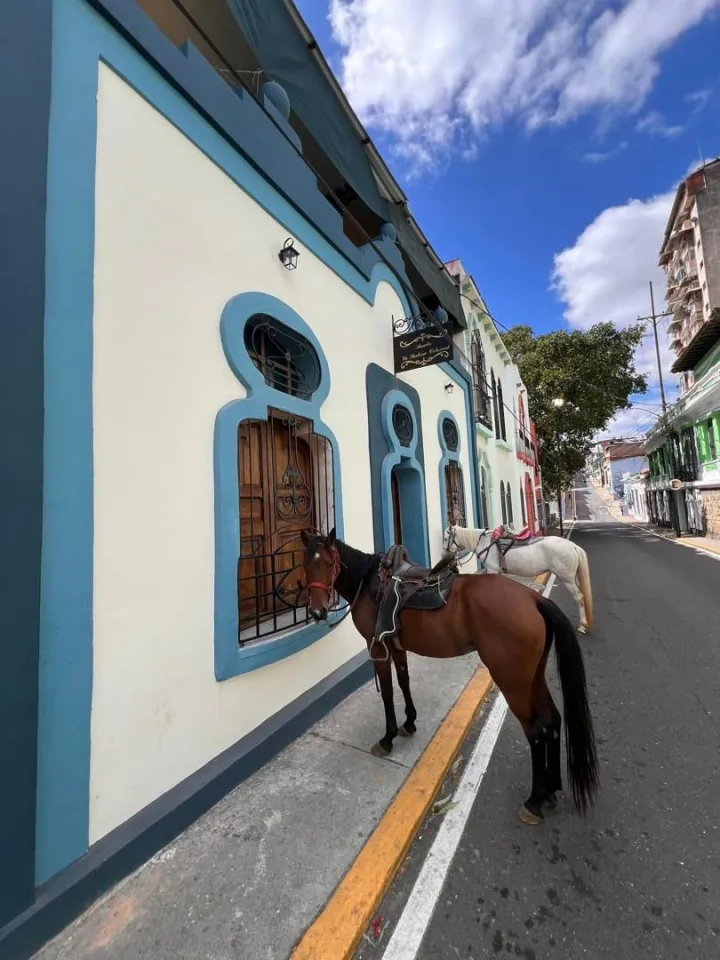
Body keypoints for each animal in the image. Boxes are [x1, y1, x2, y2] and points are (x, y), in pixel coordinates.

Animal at [444, 524, 594, 635]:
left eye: (446, 538)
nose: (446, 554)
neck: (486, 543)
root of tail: (572, 546)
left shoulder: (492, 570)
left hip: (567, 579)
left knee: (579, 597)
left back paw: (582, 626)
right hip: (574, 578)